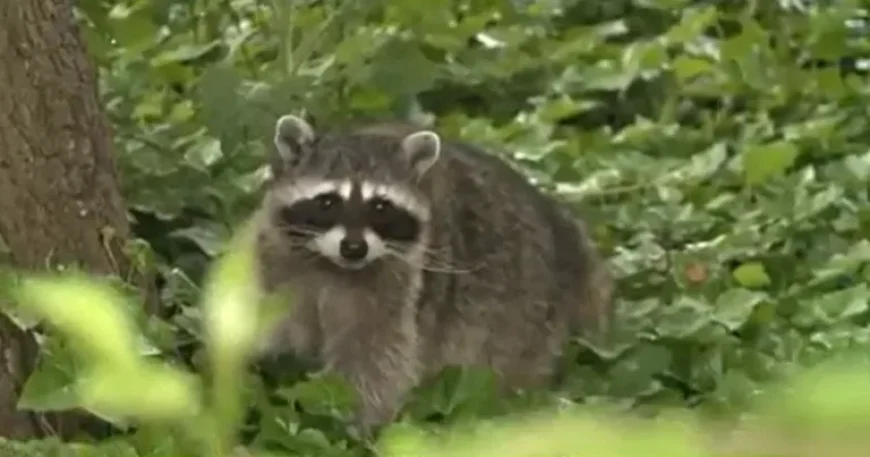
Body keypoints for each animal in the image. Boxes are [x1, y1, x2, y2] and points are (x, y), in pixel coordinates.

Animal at [250, 114, 614, 430]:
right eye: (327, 202)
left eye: (380, 206)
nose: (354, 248)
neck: (331, 265)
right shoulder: (272, 261)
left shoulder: (397, 284)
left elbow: (375, 359)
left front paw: (350, 421)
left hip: (530, 318)